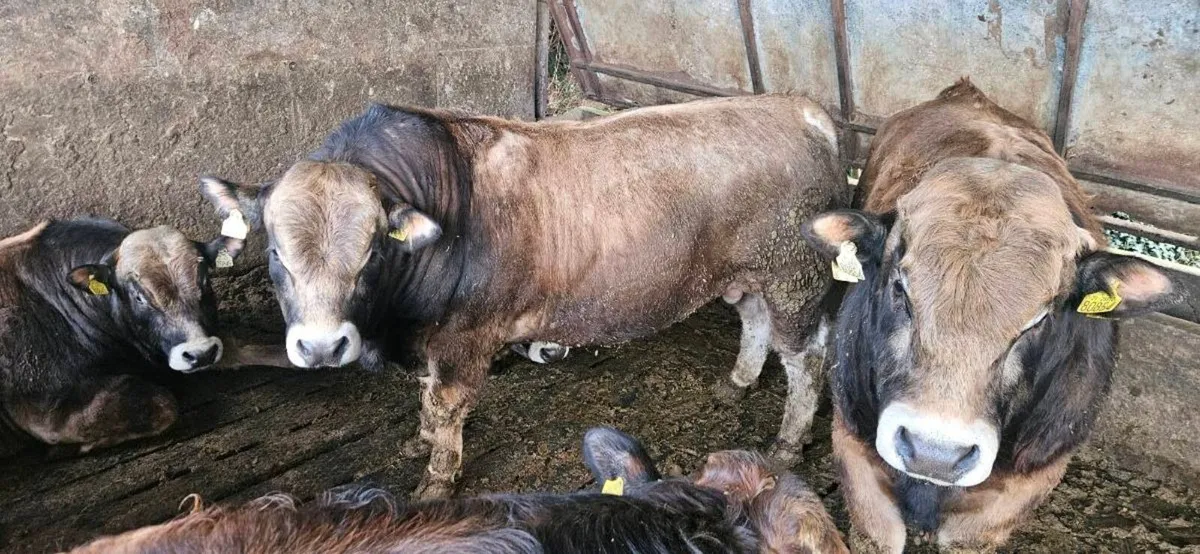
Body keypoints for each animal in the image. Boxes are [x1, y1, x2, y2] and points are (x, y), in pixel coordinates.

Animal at [200, 94, 848, 498]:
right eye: (275, 252)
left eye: (372, 252)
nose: (321, 346)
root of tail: (797, 106)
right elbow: (426, 398)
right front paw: (420, 441)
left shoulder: (465, 337)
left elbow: (446, 404)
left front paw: (437, 479)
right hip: (748, 274)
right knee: (755, 322)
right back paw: (736, 382)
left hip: (794, 276)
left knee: (806, 359)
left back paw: (788, 443)